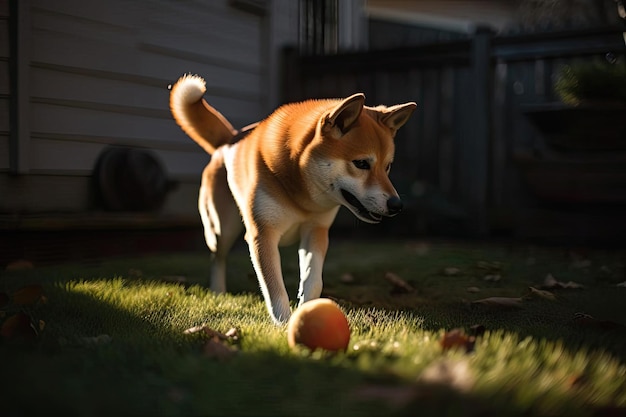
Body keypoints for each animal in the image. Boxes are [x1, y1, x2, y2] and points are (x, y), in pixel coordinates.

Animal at [168, 74, 416, 322]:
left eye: (387, 166)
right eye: (362, 163)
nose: (397, 205)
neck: (302, 196)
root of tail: (230, 138)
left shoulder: (316, 231)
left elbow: (313, 281)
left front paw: (307, 309)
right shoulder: (263, 234)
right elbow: (274, 288)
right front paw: (284, 323)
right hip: (222, 229)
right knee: (217, 258)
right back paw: (218, 291)